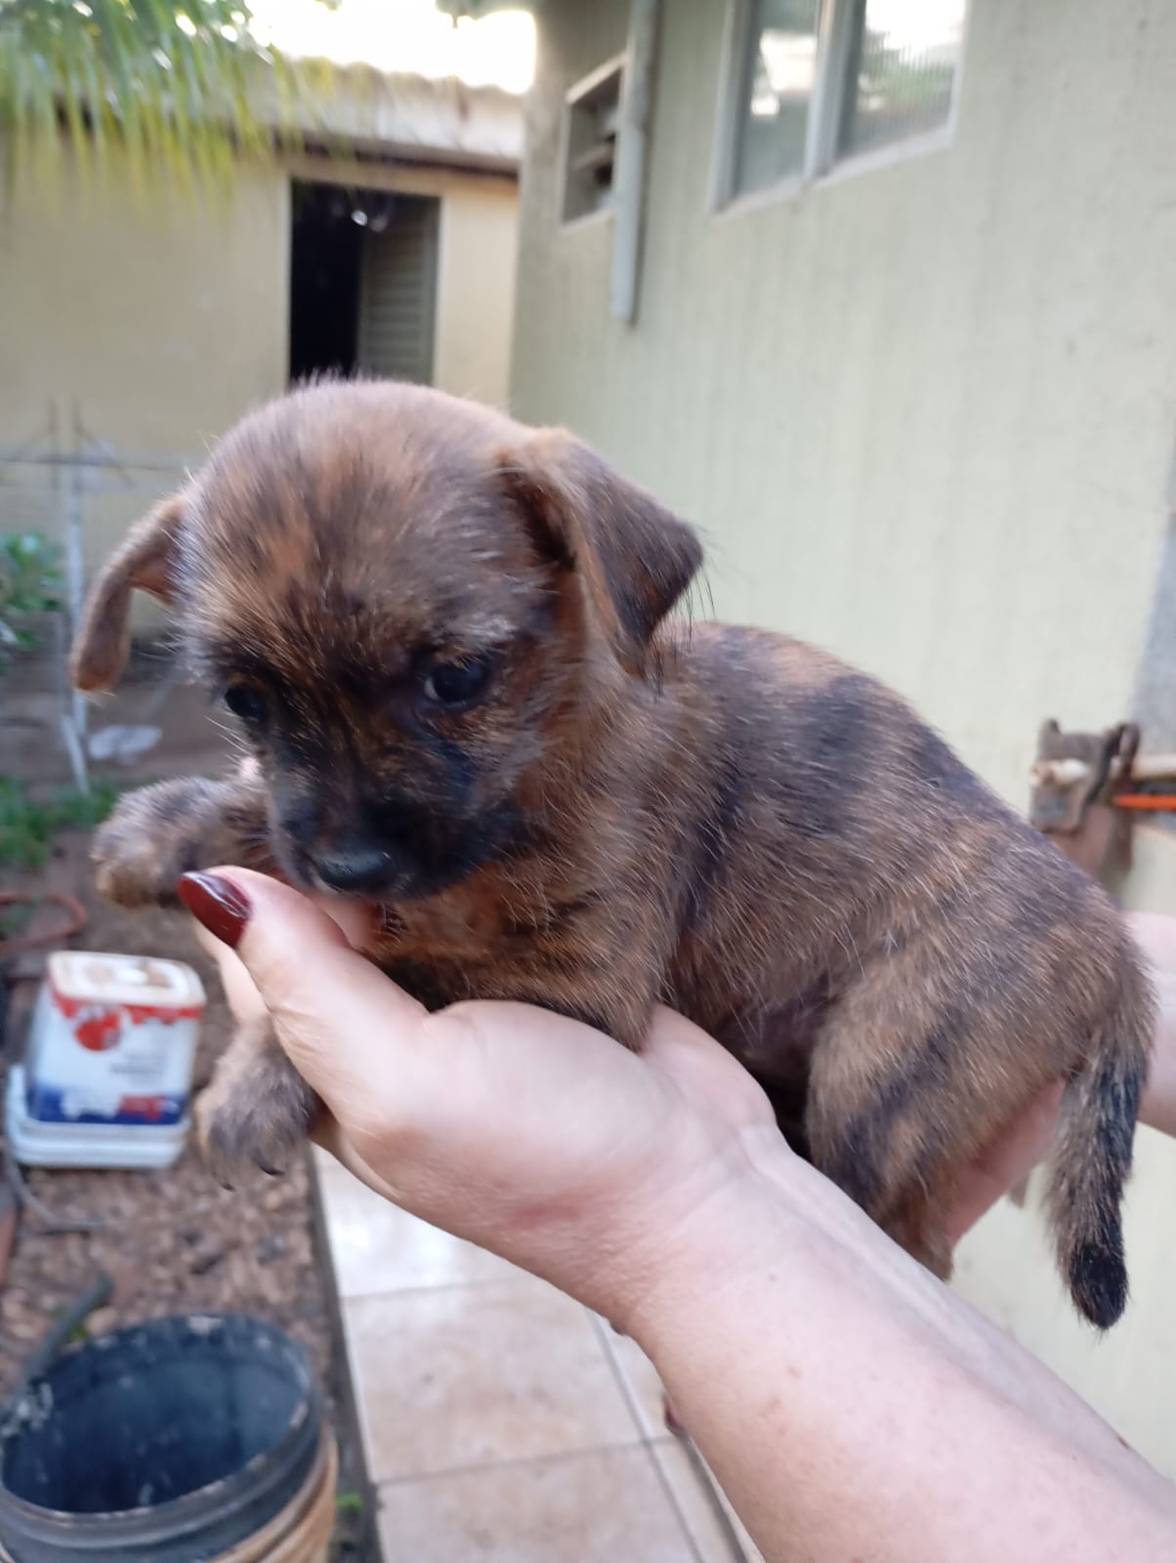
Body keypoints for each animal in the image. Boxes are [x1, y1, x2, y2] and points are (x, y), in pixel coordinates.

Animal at [71, 380, 1153, 1328]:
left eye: (456, 678)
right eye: (246, 701)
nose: (346, 868)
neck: (548, 740)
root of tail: (1111, 942)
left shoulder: (577, 978)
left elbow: (399, 961)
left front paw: (255, 1078)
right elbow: (270, 822)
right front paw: (161, 830)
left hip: (881, 1071)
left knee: (911, 1239)